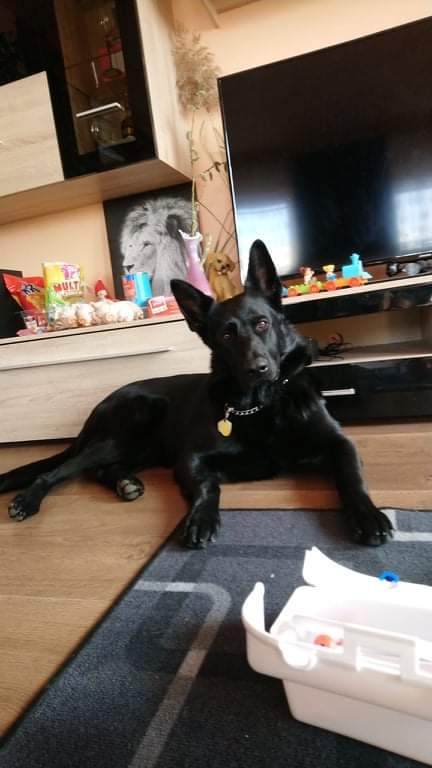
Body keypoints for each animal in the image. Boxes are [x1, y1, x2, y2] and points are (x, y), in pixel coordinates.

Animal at [0, 240, 392, 548]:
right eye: (226, 336)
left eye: (262, 324)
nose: (258, 368)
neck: (261, 403)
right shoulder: (190, 459)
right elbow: (208, 487)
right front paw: (201, 518)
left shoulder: (339, 443)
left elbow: (351, 477)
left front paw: (367, 515)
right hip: (131, 424)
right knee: (59, 471)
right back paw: (30, 499)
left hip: (142, 448)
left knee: (100, 470)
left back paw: (125, 483)